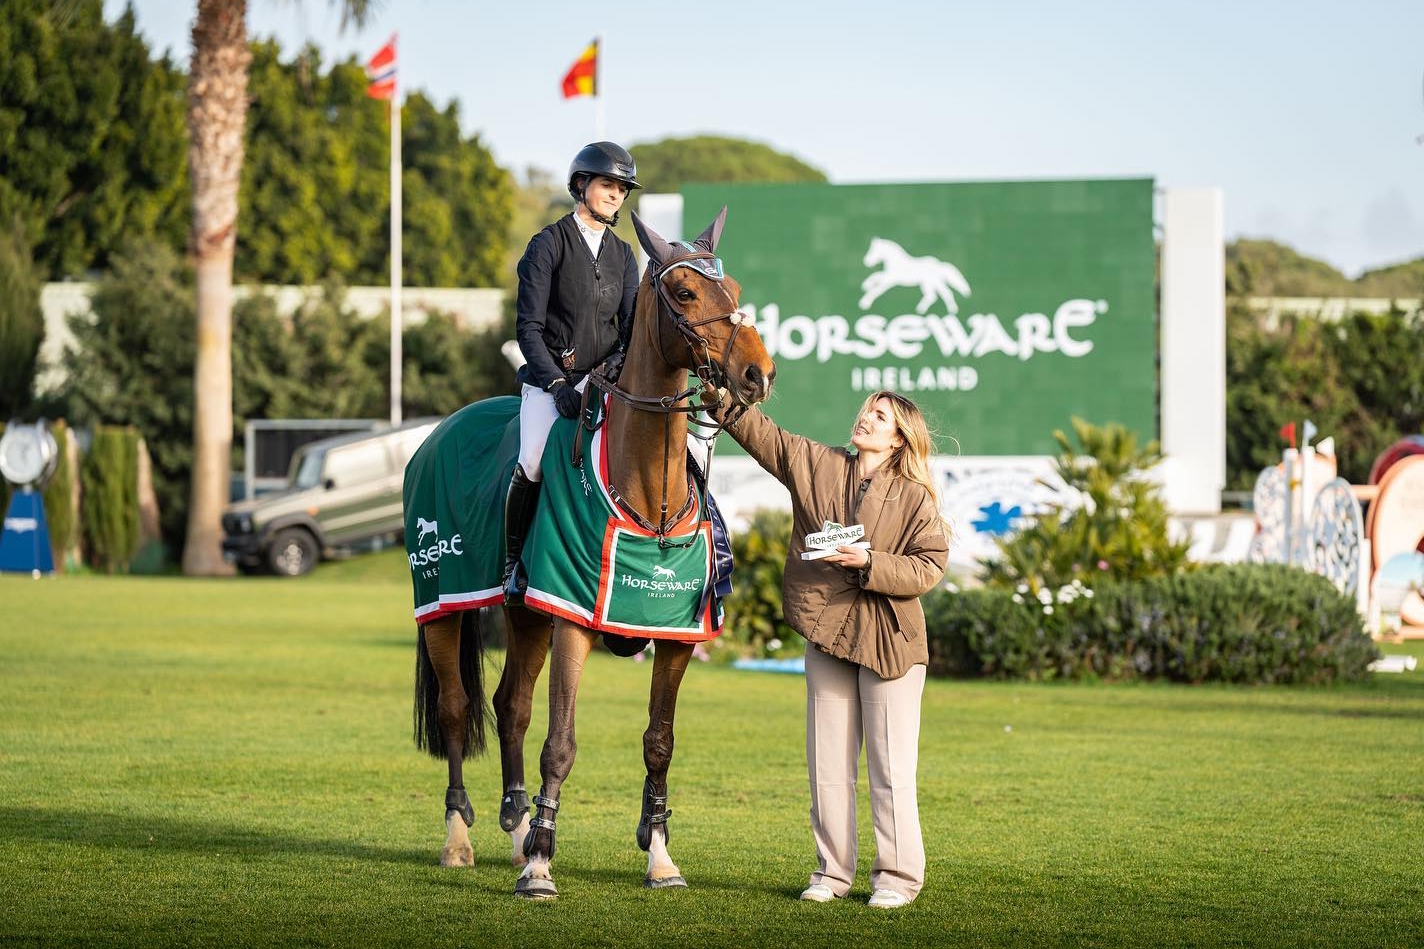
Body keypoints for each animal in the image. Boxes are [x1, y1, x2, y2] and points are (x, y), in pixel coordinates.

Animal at [401, 206, 780, 894]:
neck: (650, 496)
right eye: (686, 293)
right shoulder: (571, 621)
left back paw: (519, 829)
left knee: (511, 707)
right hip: (442, 606)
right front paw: (541, 868)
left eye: (734, 288)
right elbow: (561, 744)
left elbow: (659, 741)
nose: (756, 375)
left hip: (525, 615)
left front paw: (658, 854)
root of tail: (437, 433)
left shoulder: (674, 639)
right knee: (456, 710)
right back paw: (460, 838)